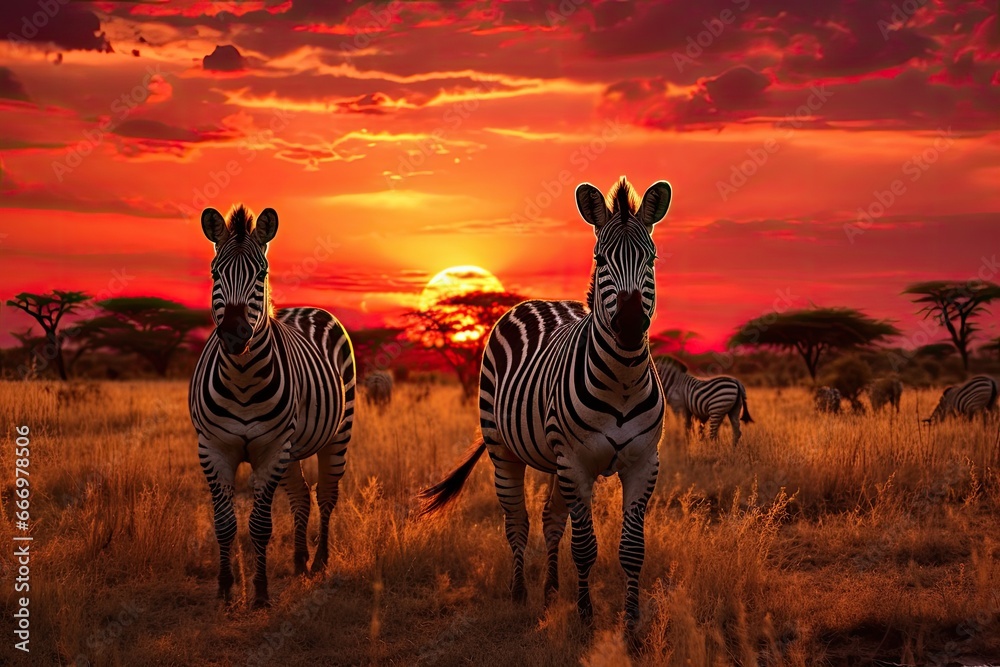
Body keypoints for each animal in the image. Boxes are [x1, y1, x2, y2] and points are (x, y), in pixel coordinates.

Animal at [190, 205, 356, 607]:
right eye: (215, 272)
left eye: (261, 274)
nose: (234, 337)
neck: (242, 378)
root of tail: (307, 309)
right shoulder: (212, 449)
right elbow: (224, 524)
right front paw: (225, 589)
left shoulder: (271, 449)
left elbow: (260, 526)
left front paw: (261, 594)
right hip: (292, 450)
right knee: (301, 496)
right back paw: (299, 562)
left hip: (336, 436)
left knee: (326, 495)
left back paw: (320, 563)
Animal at [419, 177, 672, 633]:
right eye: (600, 259)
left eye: (652, 257)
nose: (629, 327)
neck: (623, 379)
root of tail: (534, 302)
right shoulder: (575, 461)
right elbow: (585, 546)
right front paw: (586, 617)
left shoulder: (644, 462)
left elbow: (631, 549)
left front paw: (631, 624)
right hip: (504, 450)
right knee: (517, 522)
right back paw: (520, 592)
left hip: (556, 462)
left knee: (550, 521)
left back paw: (551, 590)